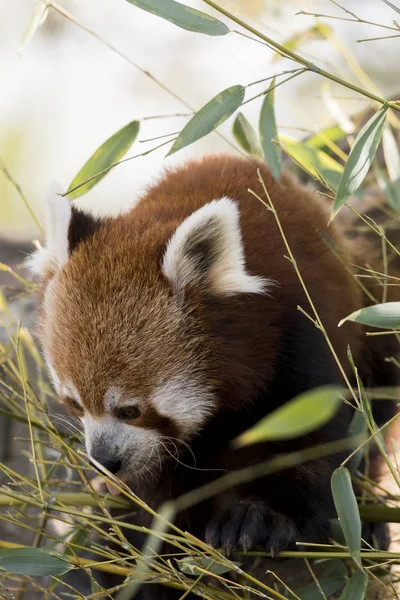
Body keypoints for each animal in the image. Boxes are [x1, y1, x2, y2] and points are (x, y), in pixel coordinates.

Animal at [28, 156, 396, 600]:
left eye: (131, 410)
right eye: (75, 404)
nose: (105, 461)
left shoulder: (305, 332)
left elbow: (313, 444)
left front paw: (258, 519)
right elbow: (152, 500)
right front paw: (151, 552)